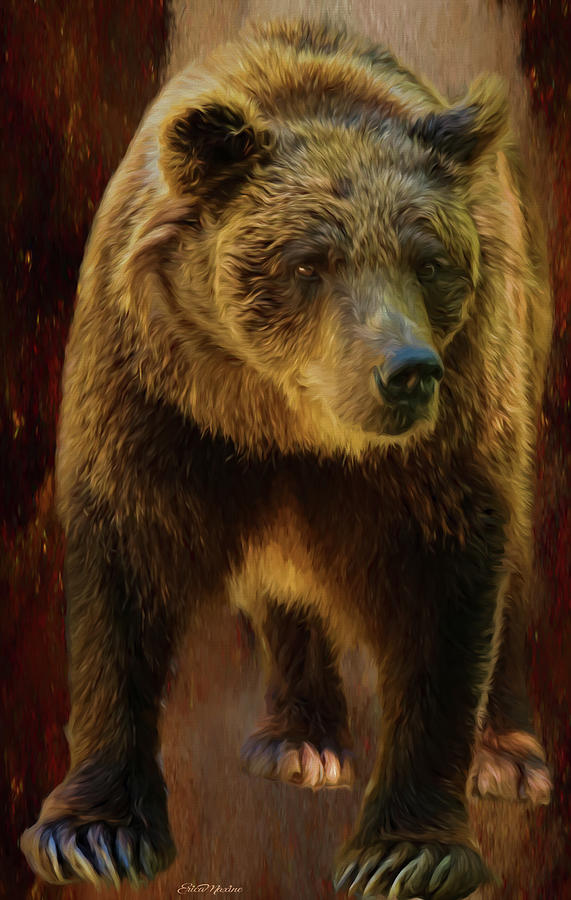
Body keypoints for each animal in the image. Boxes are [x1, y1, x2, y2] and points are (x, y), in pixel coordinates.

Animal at [20, 17, 553, 899]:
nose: (406, 370)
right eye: (308, 262)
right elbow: (123, 571)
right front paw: (94, 832)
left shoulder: (452, 430)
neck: (287, 423)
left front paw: (406, 848)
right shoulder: (153, 399)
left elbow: (449, 582)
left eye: (430, 261)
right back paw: (299, 740)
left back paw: (508, 753)